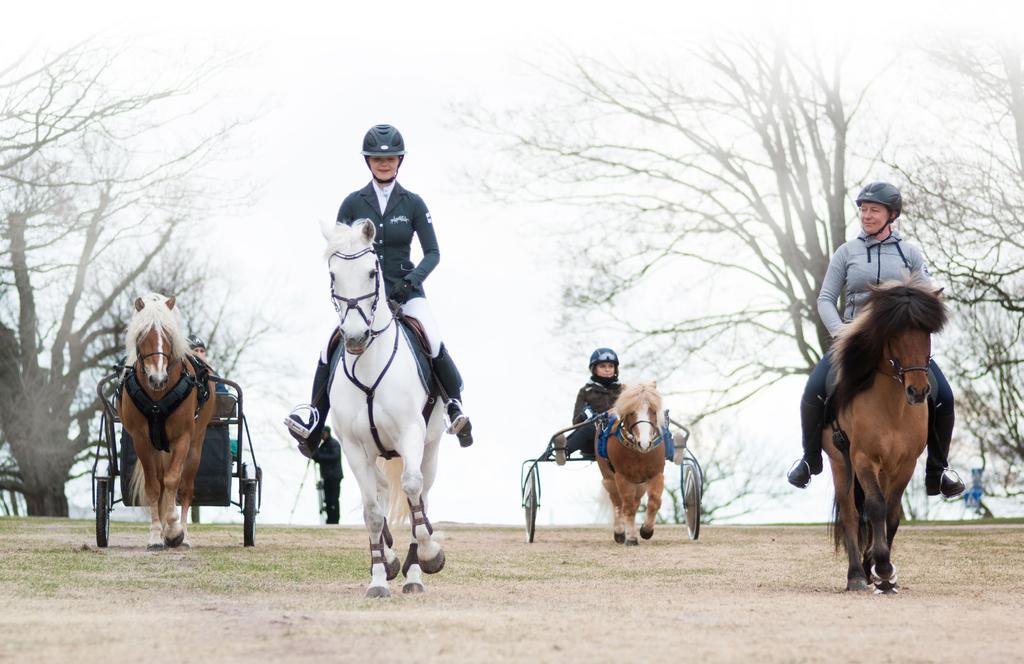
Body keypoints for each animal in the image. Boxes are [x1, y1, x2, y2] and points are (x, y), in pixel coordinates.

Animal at [119, 295, 216, 549]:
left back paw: (184, 535)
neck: (157, 399)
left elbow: (174, 481)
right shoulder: (142, 440)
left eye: (168, 335)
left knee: (186, 488)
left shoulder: (182, 438)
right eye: (142, 335)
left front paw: (174, 530)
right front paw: (156, 535)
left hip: (195, 446)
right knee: (161, 485)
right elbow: (154, 486)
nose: (158, 378)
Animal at [321, 218, 446, 598]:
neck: (369, 364)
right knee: (378, 494)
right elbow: (373, 514)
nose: (355, 338)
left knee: (421, 496)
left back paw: (416, 573)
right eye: (333, 275)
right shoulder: (353, 447)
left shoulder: (411, 434)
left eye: (372, 272)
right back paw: (391, 561)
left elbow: (412, 494)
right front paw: (378, 577)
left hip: (430, 447)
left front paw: (430, 556)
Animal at [598, 381, 667, 549]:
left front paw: (646, 530)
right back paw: (619, 531)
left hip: (639, 483)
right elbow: (627, 507)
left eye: (653, 410)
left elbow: (654, 502)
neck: (638, 452)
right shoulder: (622, 477)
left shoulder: (656, 474)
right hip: (609, 476)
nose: (645, 443)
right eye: (631, 412)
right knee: (617, 502)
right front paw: (631, 537)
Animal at [823, 276, 942, 594]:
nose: (918, 391)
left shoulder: (905, 464)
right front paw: (883, 567)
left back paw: (868, 571)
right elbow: (874, 508)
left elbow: (891, 514)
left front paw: (883, 574)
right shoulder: (864, 459)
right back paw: (856, 575)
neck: (894, 408)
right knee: (851, 513)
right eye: (895, 334)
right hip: (841, 464)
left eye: (927, 333)